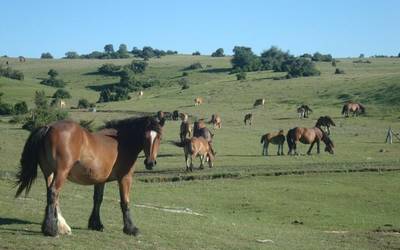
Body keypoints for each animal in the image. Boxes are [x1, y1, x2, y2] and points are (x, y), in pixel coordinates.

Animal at [14, 116, 164, 237]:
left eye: (159, 137)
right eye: (145, 136)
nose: (150, 163)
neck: (121, 141)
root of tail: (48, 127)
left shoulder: (100, 180)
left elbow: (98, 199)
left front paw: (96, 224)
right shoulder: (125, 178)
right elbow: (125, 202)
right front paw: (131, 229)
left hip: (49, 173)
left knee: (53, 196)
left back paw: (61, 226)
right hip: (61, 173)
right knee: (54, 192)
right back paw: (52, 230)